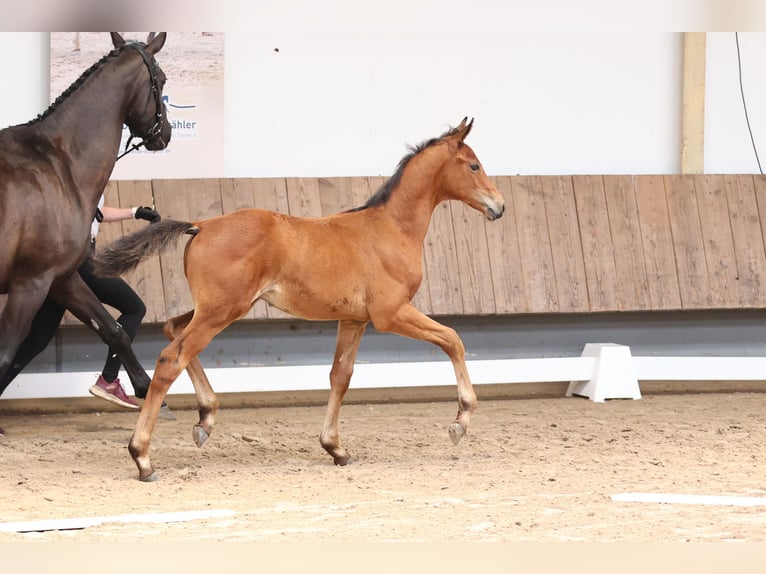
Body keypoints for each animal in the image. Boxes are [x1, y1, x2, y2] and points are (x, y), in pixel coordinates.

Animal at [0, 33, 174, 420]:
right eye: (163, 79)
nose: (166, 134)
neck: (58, 164)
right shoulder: (30, 284)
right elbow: (5, 355)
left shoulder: (62, 279)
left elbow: (114, 330)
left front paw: (146, 390)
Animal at [94, 119, 504, 484]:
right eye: (474, 165)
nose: (499, 206)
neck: (390, 229)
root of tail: (201, 225)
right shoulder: (391, 314)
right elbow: (452, 339)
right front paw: (460, 421)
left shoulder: (354, 320)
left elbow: (341, 376)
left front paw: (335, 448)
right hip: (222, 311)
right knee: (170, 359)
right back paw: (143, 458)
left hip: (215, 308)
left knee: (172, 329)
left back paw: (205, 419)